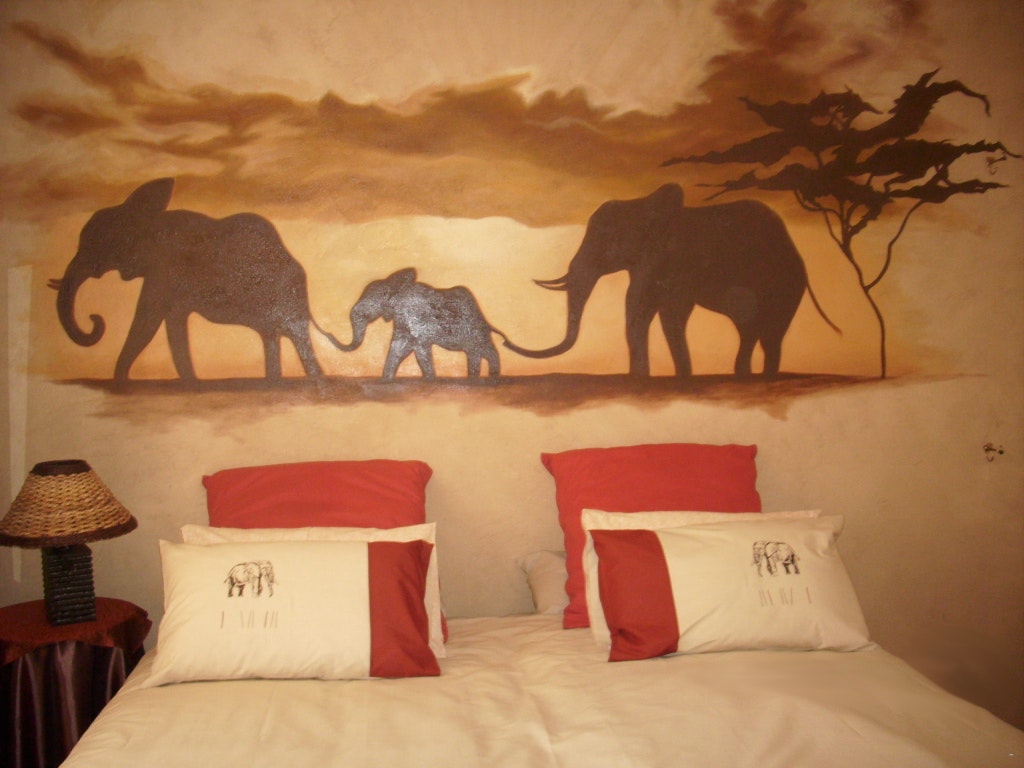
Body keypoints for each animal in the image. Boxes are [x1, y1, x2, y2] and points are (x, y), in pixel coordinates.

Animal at [49, 178, 346, 382]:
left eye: (97, 242)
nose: (95, 320)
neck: (150, 221)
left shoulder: (164, 270)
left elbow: (147, 319)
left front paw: (120, 381)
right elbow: (173, 324)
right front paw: (190, 382)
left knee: (294, 334)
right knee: (273, 335)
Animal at [334, 267, 506, 380]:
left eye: (367, 309)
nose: (330, 334)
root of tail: (486, 321)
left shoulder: (416, 317)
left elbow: (418, 347)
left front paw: (430, 380)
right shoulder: (403, 320)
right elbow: (399, 347)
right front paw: (386, 380)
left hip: (474, 329)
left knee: (480, 351)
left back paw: (484, 379)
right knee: (480, 351)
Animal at [502, 183, 839, 377]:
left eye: (605, 244)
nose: (505, 340)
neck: (642, 204)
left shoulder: (672, 261)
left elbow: (658, 310)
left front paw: (665, 379)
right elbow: (650, 311)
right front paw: (652, 379)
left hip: (785, 285)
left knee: (767, 333)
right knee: (753, 331)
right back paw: (748, 377)